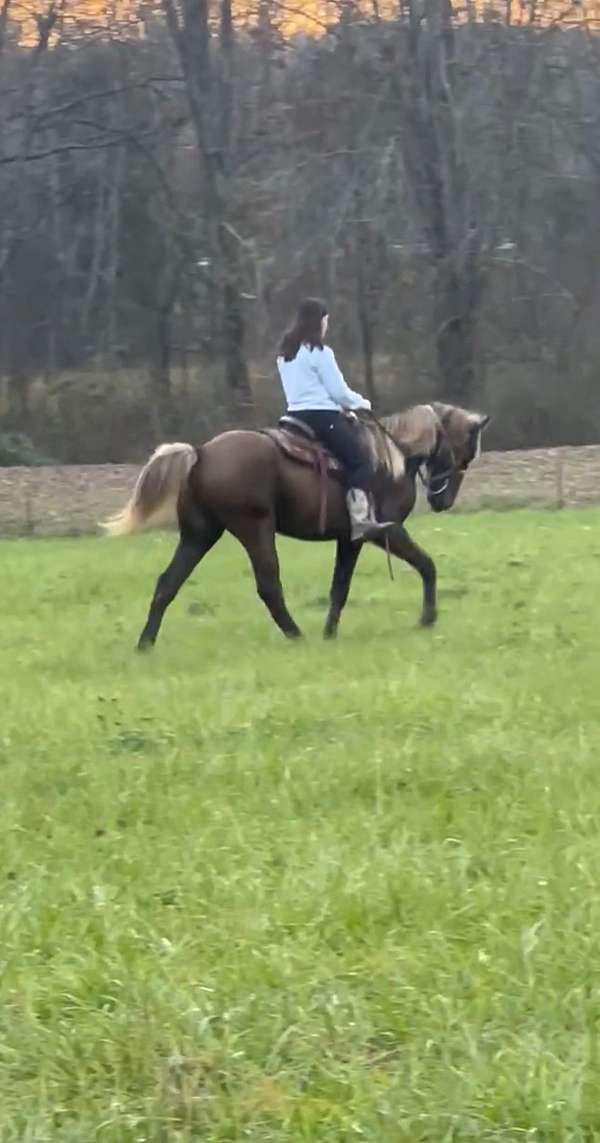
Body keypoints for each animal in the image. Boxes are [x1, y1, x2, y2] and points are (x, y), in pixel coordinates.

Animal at [104, 402, 486, 644]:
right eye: (467, 454)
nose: (443, 501)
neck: (393, 457)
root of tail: (201, 453)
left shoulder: (349, 539)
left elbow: (339, 587)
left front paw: (330, 634)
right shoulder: (386, 531)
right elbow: (427, 564)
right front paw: (427, 619)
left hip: (200, 535)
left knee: (167, 582)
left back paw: (145, 643)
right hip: (254, 529)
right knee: (269, 587)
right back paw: (296, 635)